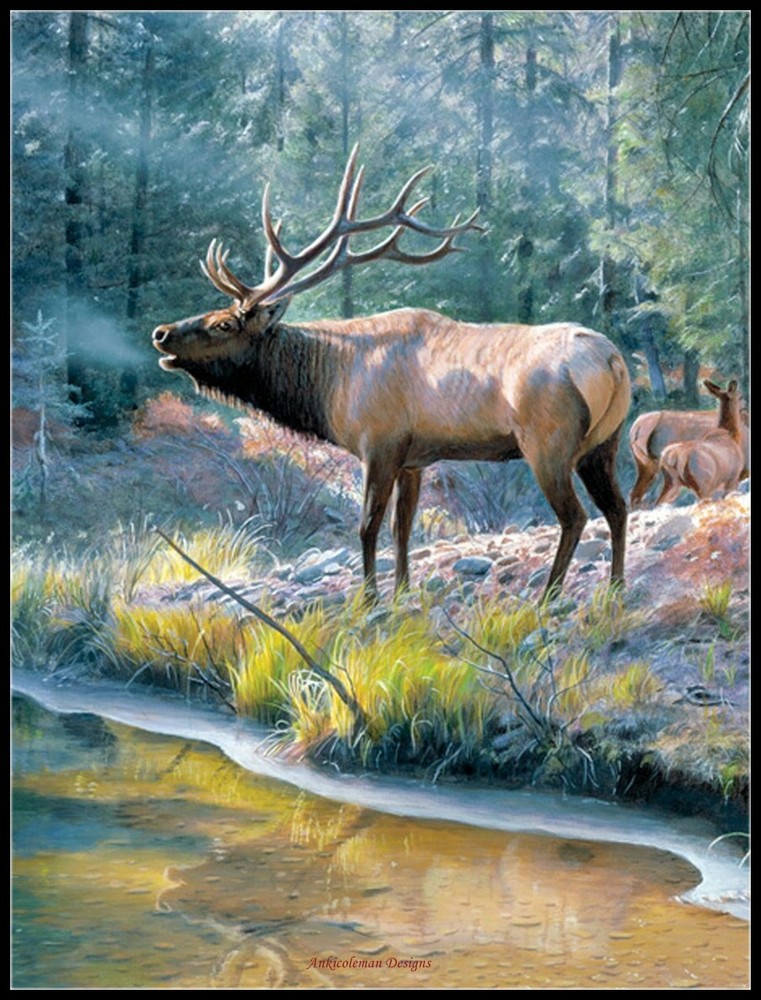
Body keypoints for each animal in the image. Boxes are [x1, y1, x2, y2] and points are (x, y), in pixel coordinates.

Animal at [152, 146, 631, 603]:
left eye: (223, 324)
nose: (161, 333)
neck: (331, 383)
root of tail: (612, 361)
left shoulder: (378, 443)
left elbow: (367, 526)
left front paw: (368, 600)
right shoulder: (414, 458)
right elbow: (403, 529)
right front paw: (401, 592)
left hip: (548, 443)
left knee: (575, 516)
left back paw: (548, 597)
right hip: (603, 445)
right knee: (618, 508)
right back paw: (615, 588)